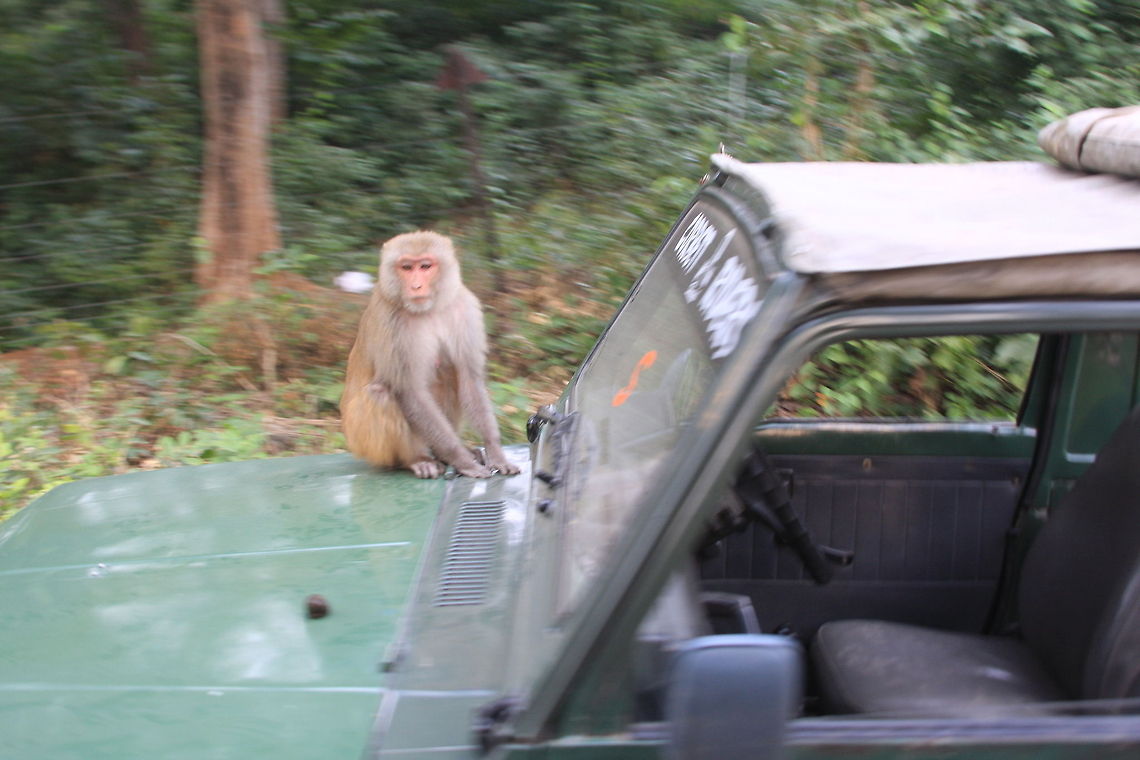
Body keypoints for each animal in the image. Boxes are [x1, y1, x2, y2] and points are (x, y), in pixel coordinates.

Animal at [340, 230, 521, 479]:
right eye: (406, 267)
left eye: (425, 266)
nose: (416, 286)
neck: (429, 310)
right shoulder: (391, 320)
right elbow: (409, 390)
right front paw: (462, 460)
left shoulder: (465, 306)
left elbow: (469, 378)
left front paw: (495, 450)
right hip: (362, 439)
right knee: (381, 393)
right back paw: (416, 460)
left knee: (448, 372)